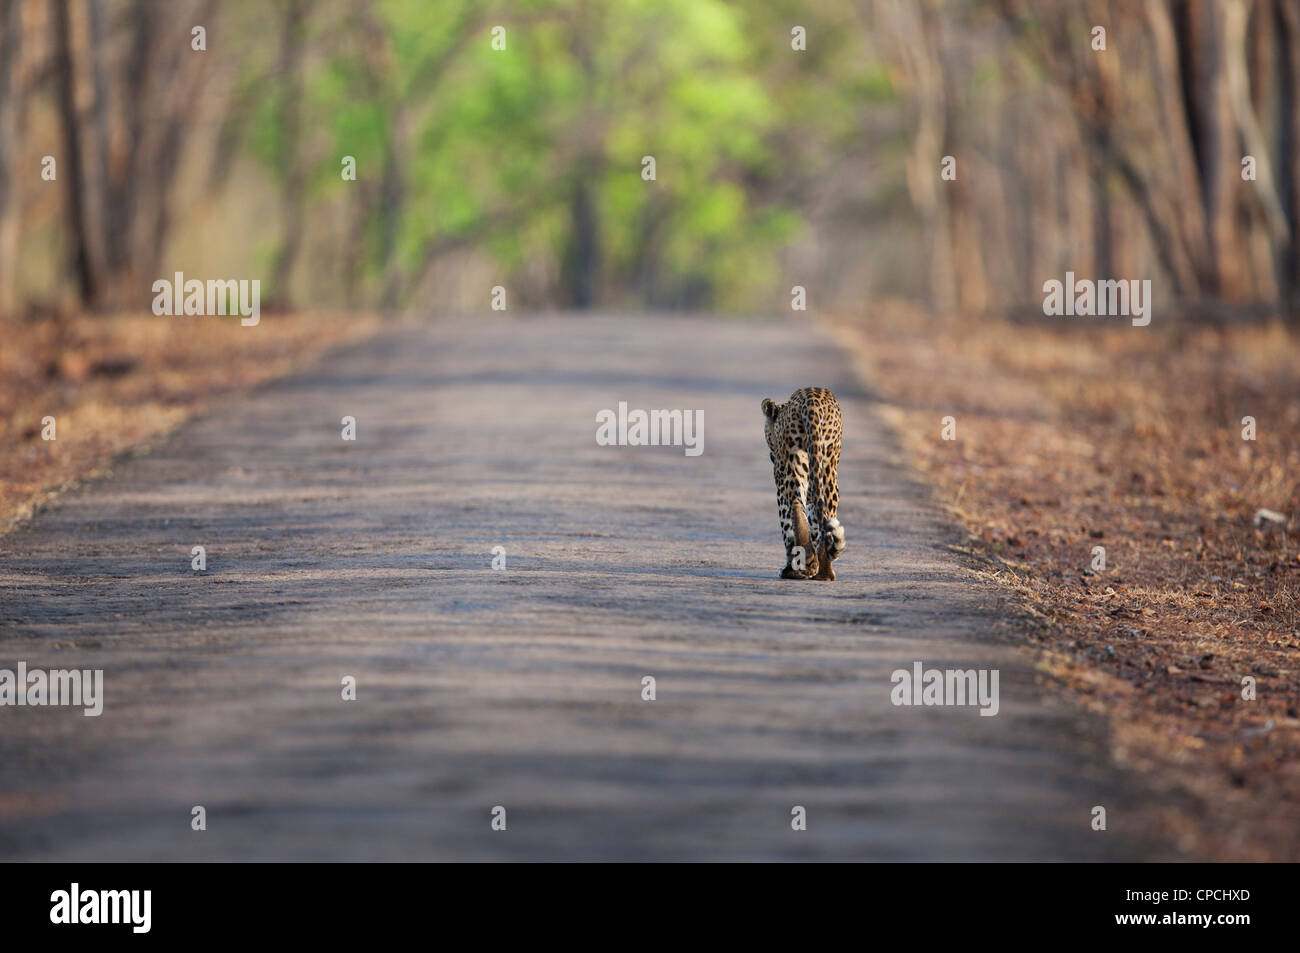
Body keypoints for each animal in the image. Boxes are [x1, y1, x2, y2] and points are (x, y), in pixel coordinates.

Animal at [759, 387, 842, 579]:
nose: (771, 455)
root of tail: (811, 402)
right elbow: (814, 522)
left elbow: (788, 526)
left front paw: (793, 566)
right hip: (827, 469)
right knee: (827, 514)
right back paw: (824, 572)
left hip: (788, 470)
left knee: (795, 505)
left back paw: (801, 566)